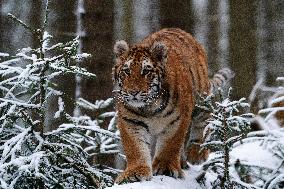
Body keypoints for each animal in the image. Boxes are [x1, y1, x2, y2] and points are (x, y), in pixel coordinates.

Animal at [112, 28, 234, 183]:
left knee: (204, 121)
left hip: (201, 100)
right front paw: (135, 172)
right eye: (126, 71)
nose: (133, 92)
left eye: (146, 71)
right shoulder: (129, 121)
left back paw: (196, 154)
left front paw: (165, 168)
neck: (149, 107)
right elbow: (135, 148)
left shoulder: (178, 119)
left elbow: (170, 145)